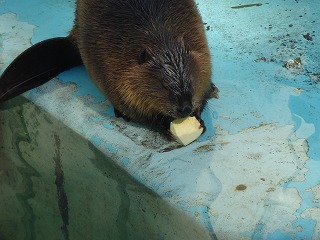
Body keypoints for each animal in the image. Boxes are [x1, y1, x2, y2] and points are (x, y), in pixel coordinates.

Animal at [0, 0, 218, 132]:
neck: (160, 35)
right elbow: (135, 111)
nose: (184, 108)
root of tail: (72, 41)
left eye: (190, 81)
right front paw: (166, 127)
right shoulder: (114, 73)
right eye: (164, 87)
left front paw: (198, 116)